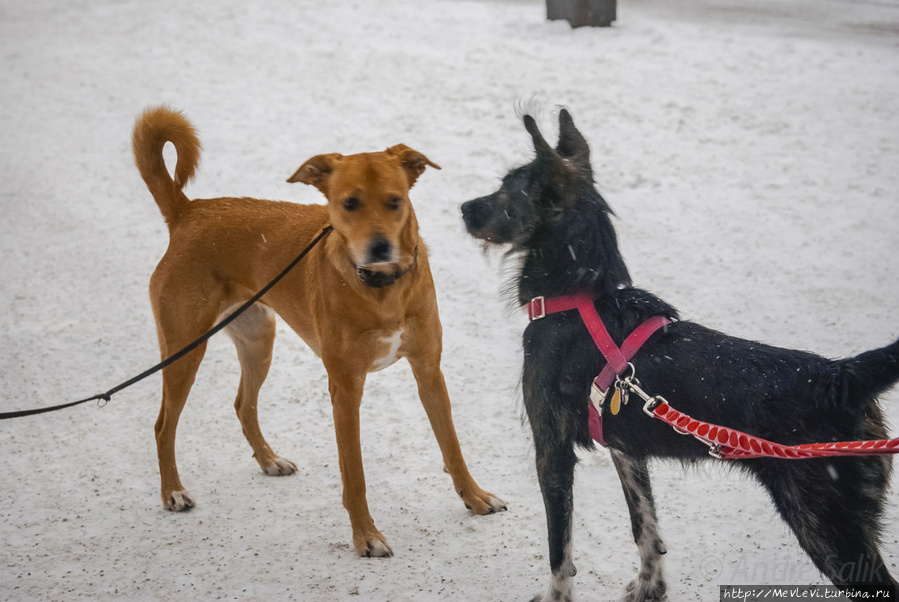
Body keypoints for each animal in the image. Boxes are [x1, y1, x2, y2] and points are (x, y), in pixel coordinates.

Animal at [132, 106, 506, 552]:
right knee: (163, 426)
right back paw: (172, 491)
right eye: (349, 203)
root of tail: (189, 211)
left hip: (258, 339)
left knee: (243, 404)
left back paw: (269, 460)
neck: (382, 290)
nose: (379, 246)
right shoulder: (345, 387)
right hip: (185, 348)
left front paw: (475, 496)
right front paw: (365, 536)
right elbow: (354, 474)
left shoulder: (429, 370)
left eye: (395, 201)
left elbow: (452, 445)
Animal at [464, 110, 899, 596]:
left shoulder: (552, 451)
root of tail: (841, 376)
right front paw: (649, 589)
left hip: (826, 525)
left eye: (507, 189)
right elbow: (646, 530)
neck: (580, 300)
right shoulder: (626, 449)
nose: (463, 208)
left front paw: (557, 594)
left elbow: (560, 553)